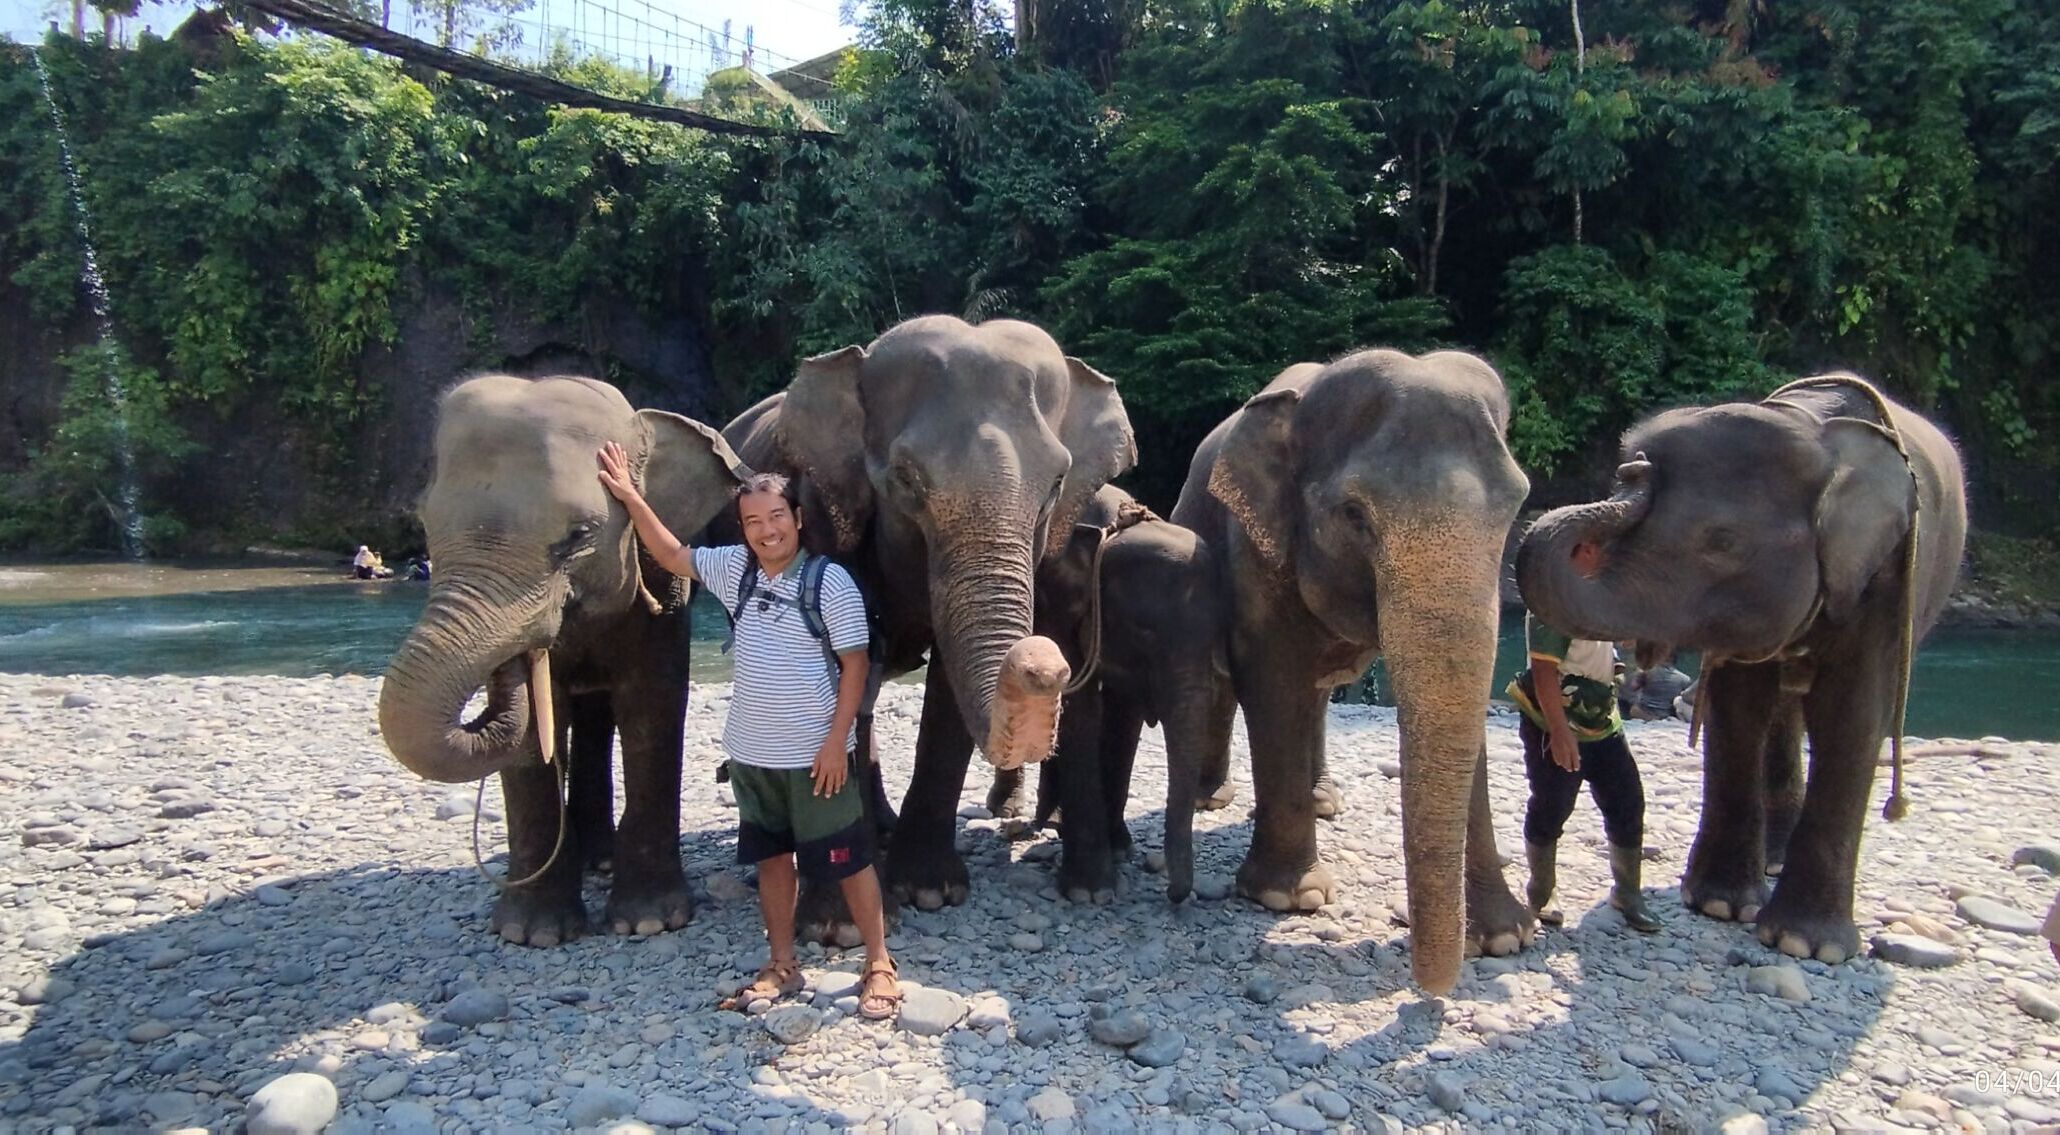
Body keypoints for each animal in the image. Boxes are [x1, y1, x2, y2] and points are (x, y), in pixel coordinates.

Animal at [378, 375, 748, 945]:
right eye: (425, 525)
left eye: (578, 537)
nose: (513, 657)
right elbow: (537, 726)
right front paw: (533, 935)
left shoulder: (661, 589)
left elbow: (652, 705)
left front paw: (649, 922)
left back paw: (601, 863)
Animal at [720, 315, 1137, 927]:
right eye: (905, 478)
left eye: (1057, 484)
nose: (1044, 662)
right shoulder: (821, 514)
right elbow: (841, 672)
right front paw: (838, 925)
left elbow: (945, 690)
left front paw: (928, 892)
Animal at [988, 485, 1234, 904]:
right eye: (1145, 632)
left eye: (1214, 636)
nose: (1174, 895)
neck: (1114, 527)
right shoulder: (1055, 606)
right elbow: (1079, 709)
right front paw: (1090, 892)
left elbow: (1123, 715)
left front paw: (1120, 849)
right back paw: (1021, 814)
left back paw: (1056, 821)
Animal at [1172, 350, 1537, 995]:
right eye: (1353, 514)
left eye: (1516, 505)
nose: (1430, 992)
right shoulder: (1255, 545)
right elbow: (1272, 682)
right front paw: (1289, 898)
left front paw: (1504, 938)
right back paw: (1210, 800)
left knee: (1317, 694)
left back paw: (1323, 801)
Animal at [1516, 374, 1967, 964]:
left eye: (1722, 541)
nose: (1634, 467)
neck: (1812, 429)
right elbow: (1738, 711)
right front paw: (1722, 907)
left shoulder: (1887, 576)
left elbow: (1851, 716)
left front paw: (1806, 945)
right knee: (1781, 713)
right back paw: (1769, 862)